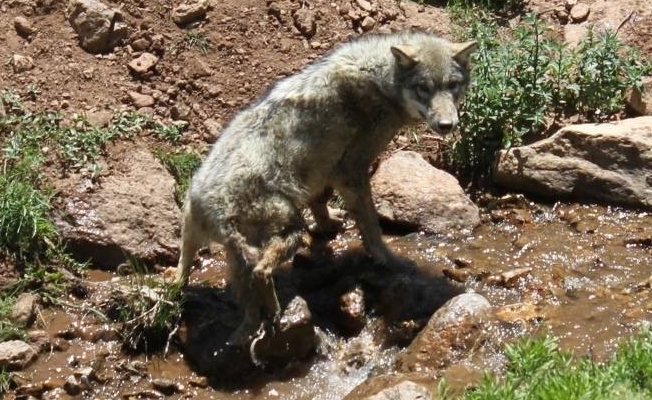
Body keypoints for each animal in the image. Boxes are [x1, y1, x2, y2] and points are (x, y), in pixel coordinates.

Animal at [176, 30, 476, 344]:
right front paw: (388, 260)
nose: (447, 125)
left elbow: (320, 203)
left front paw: (329, 224)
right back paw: (274, 314)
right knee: (261, 271)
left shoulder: (324, 171)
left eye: (452, 85)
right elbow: (372, 228)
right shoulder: (351, 171)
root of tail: (208, 207)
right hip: (290, 228)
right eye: (423, 88)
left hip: (213, 248)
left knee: (187, 278)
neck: (381, 81)